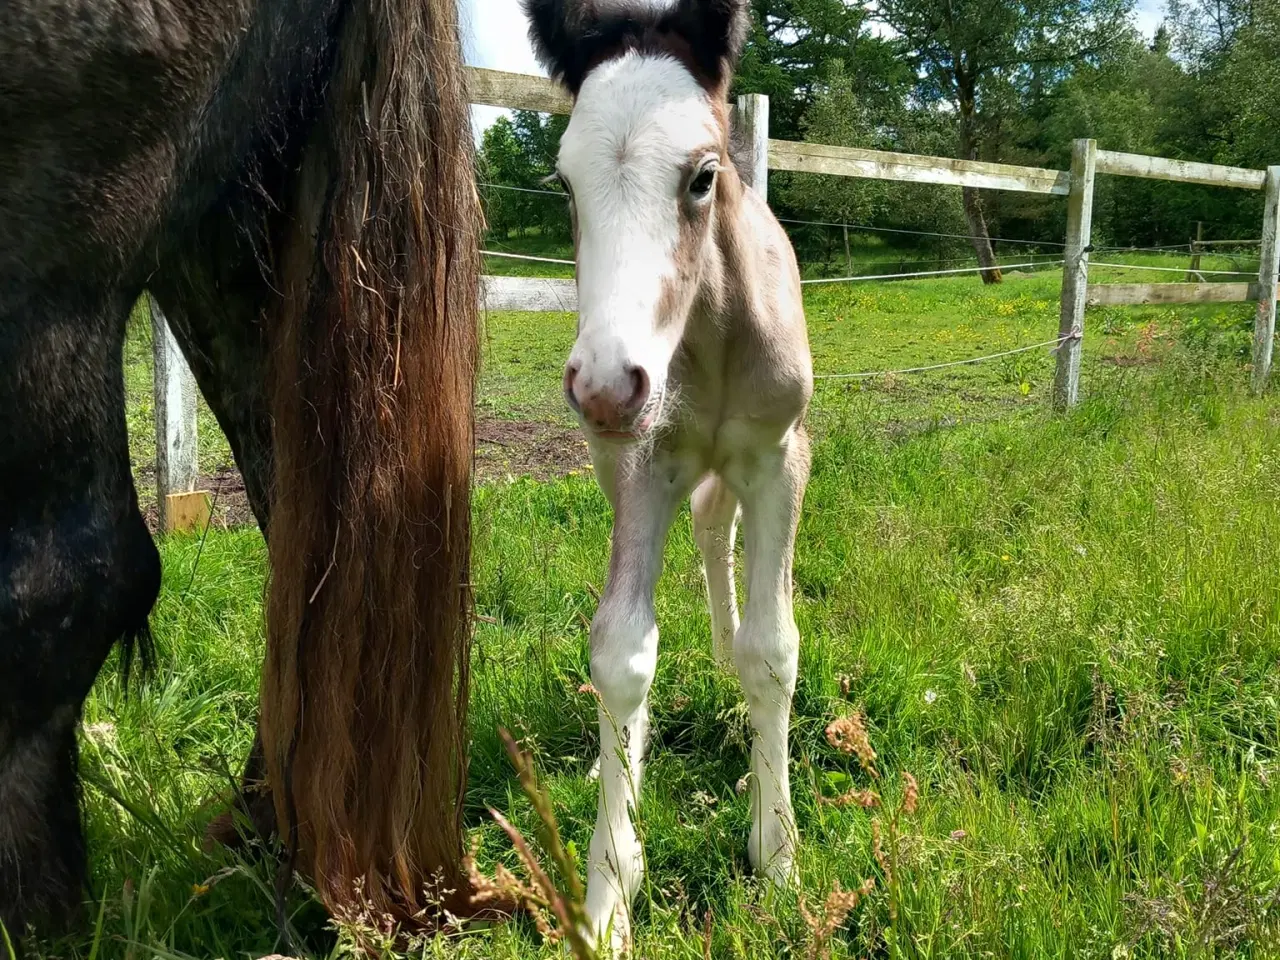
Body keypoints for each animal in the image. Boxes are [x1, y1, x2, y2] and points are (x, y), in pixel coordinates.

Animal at [524, 0, 814, 947]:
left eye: (702, 177)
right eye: (564, 184)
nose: (608, 386)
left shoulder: (780, 456)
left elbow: (773, 648)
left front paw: (778, 854)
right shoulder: (641, 465)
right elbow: (622, 652)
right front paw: (610, 894)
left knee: (716, 529)